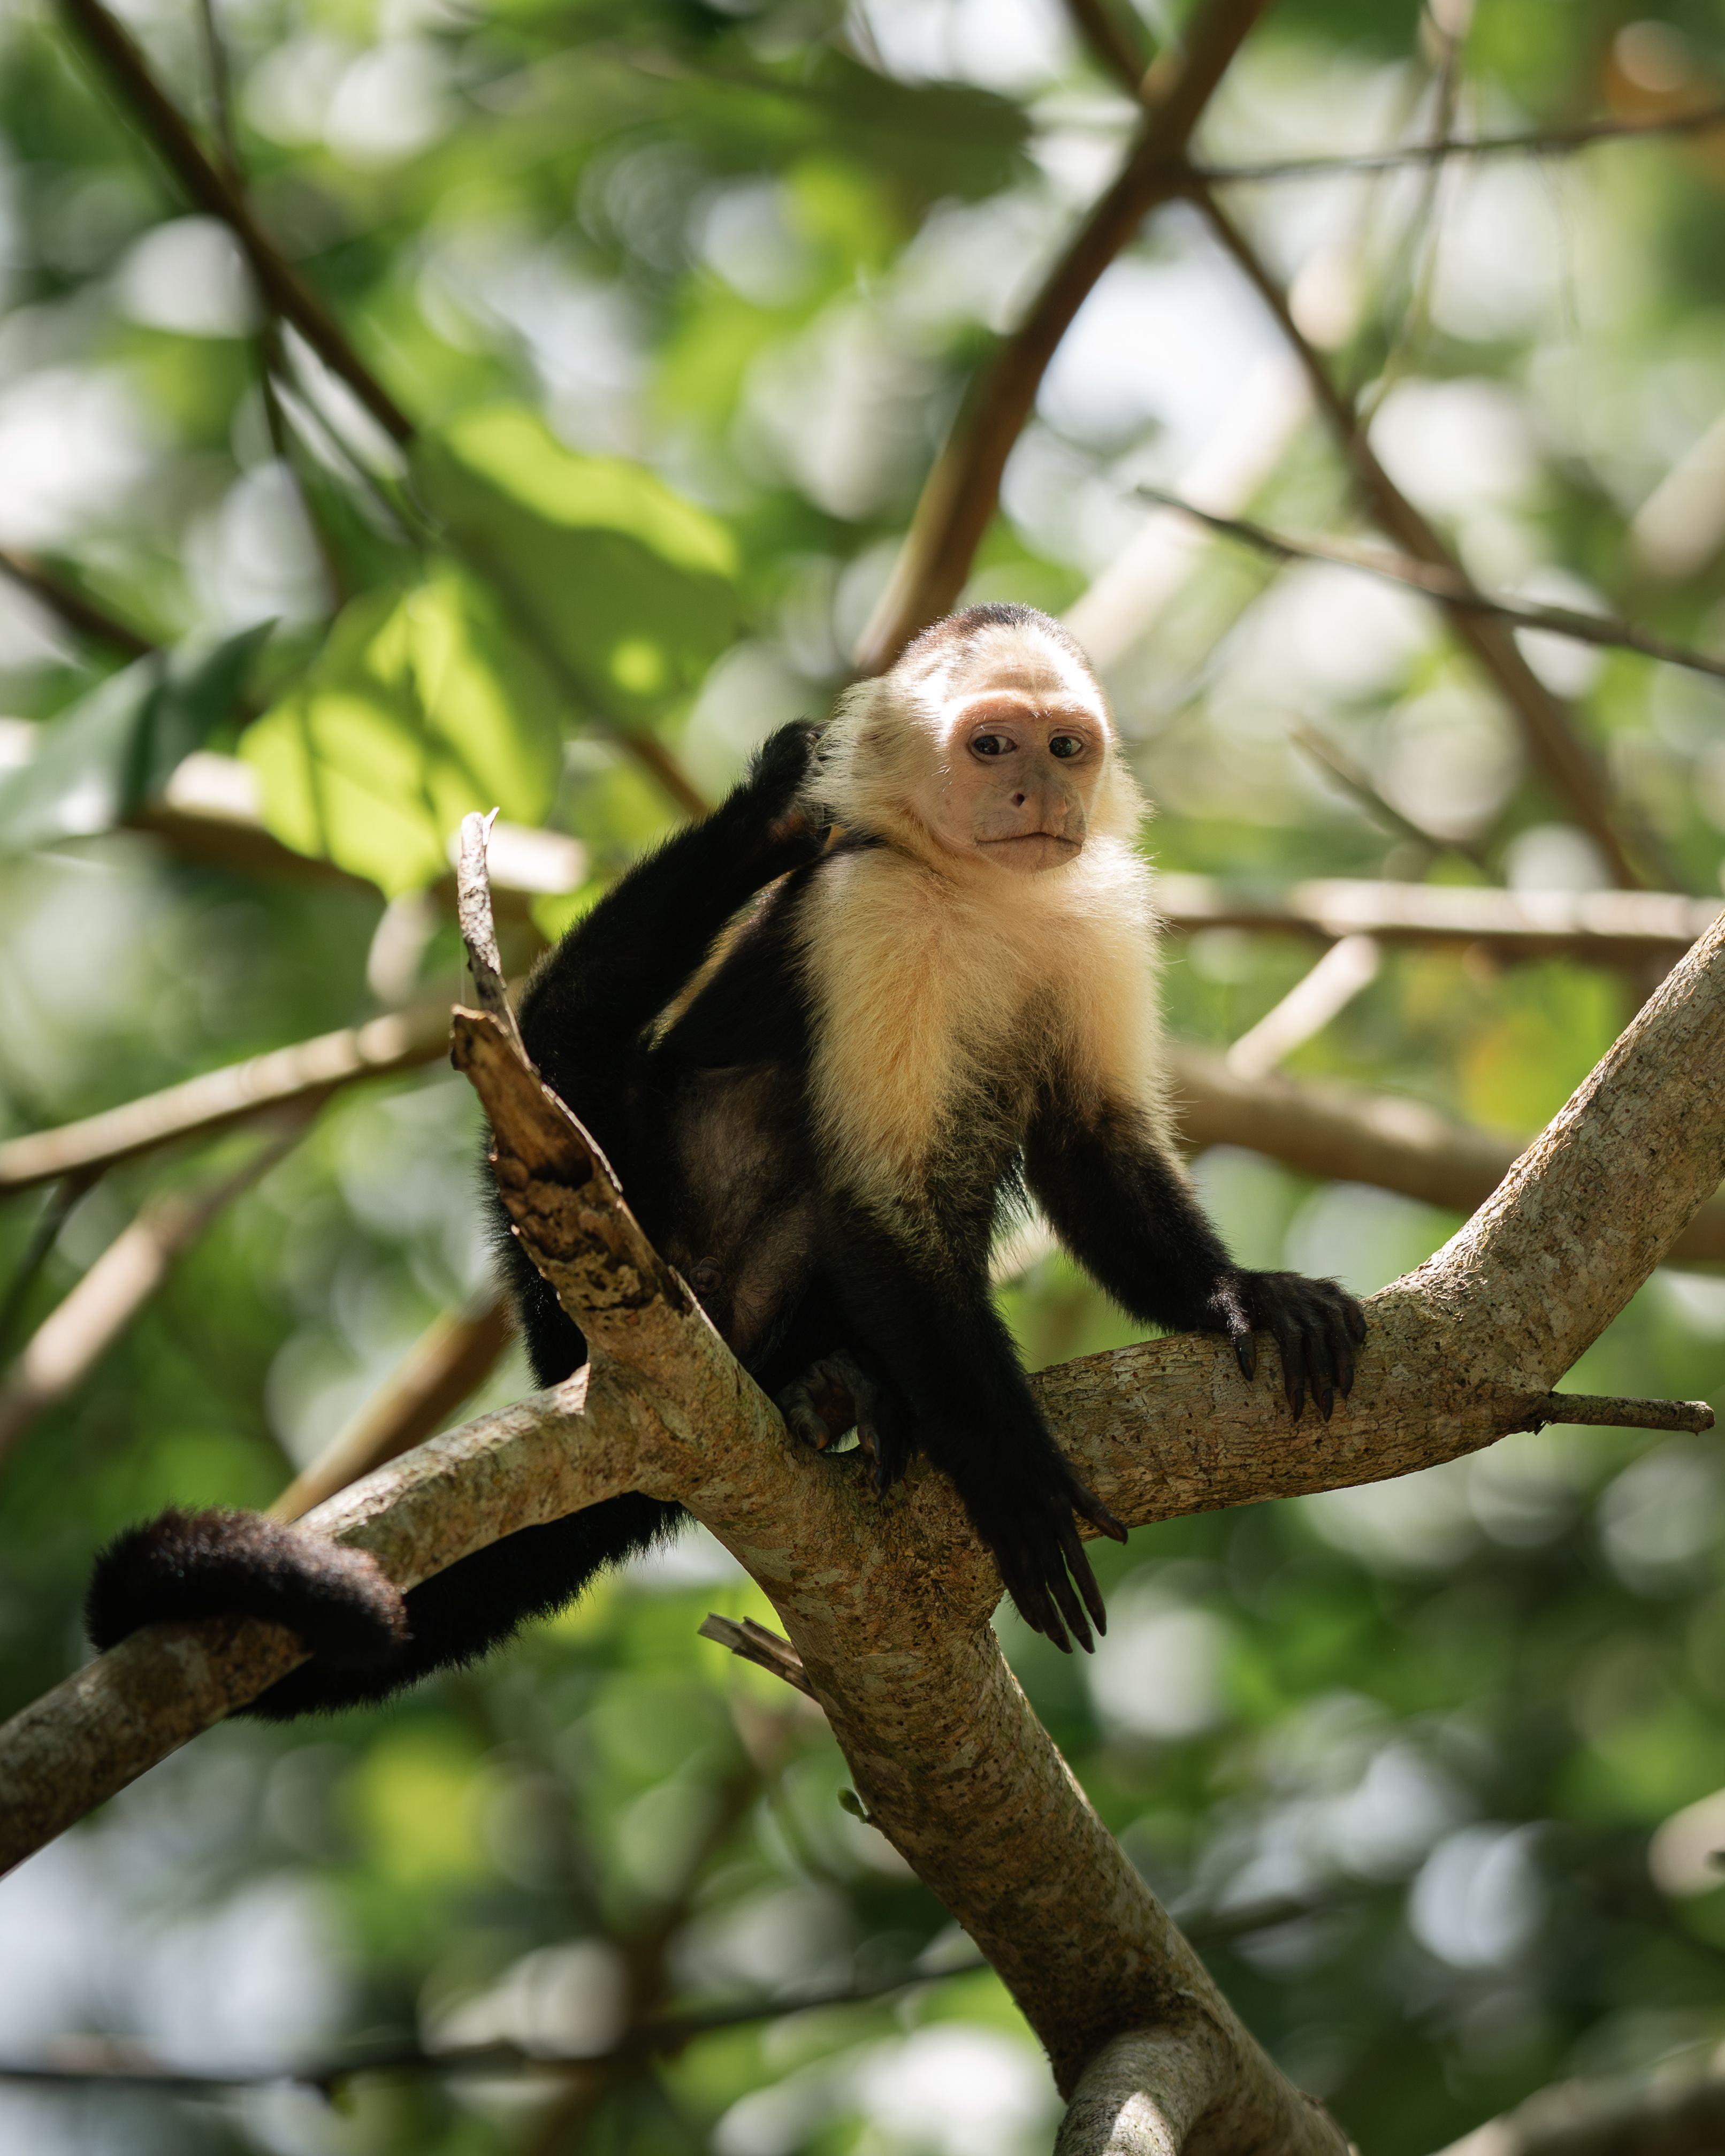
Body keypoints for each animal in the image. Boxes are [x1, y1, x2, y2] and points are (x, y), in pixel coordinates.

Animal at [87, 603, 1365, 1709]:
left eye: (1065, 746)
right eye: (990, 743)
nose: (1035, 789)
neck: (979, 889)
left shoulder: (1095, 912)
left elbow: (1092, 1145)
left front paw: (1237, 1294)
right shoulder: (868, 909)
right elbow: (870, 1197)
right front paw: (1008, 1466)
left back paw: (842, 1382)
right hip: (601, 1279)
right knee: (578, 1067)